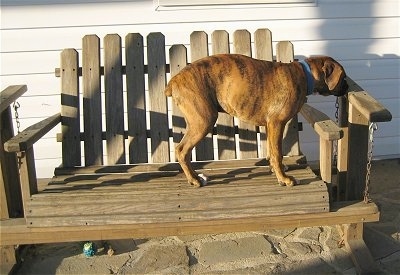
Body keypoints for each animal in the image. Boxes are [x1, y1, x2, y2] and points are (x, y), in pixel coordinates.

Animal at [164, 54, 348, 188]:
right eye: (344, 77)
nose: (347, 88)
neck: (305, 74)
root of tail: (174, 80)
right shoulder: (277, 123)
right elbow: (277, 153)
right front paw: (284, 179)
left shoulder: (270, 125)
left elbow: (271, 151)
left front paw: (275, 169)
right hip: (203, 121)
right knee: (181, 150)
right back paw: (194, 179)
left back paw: (197, 176)